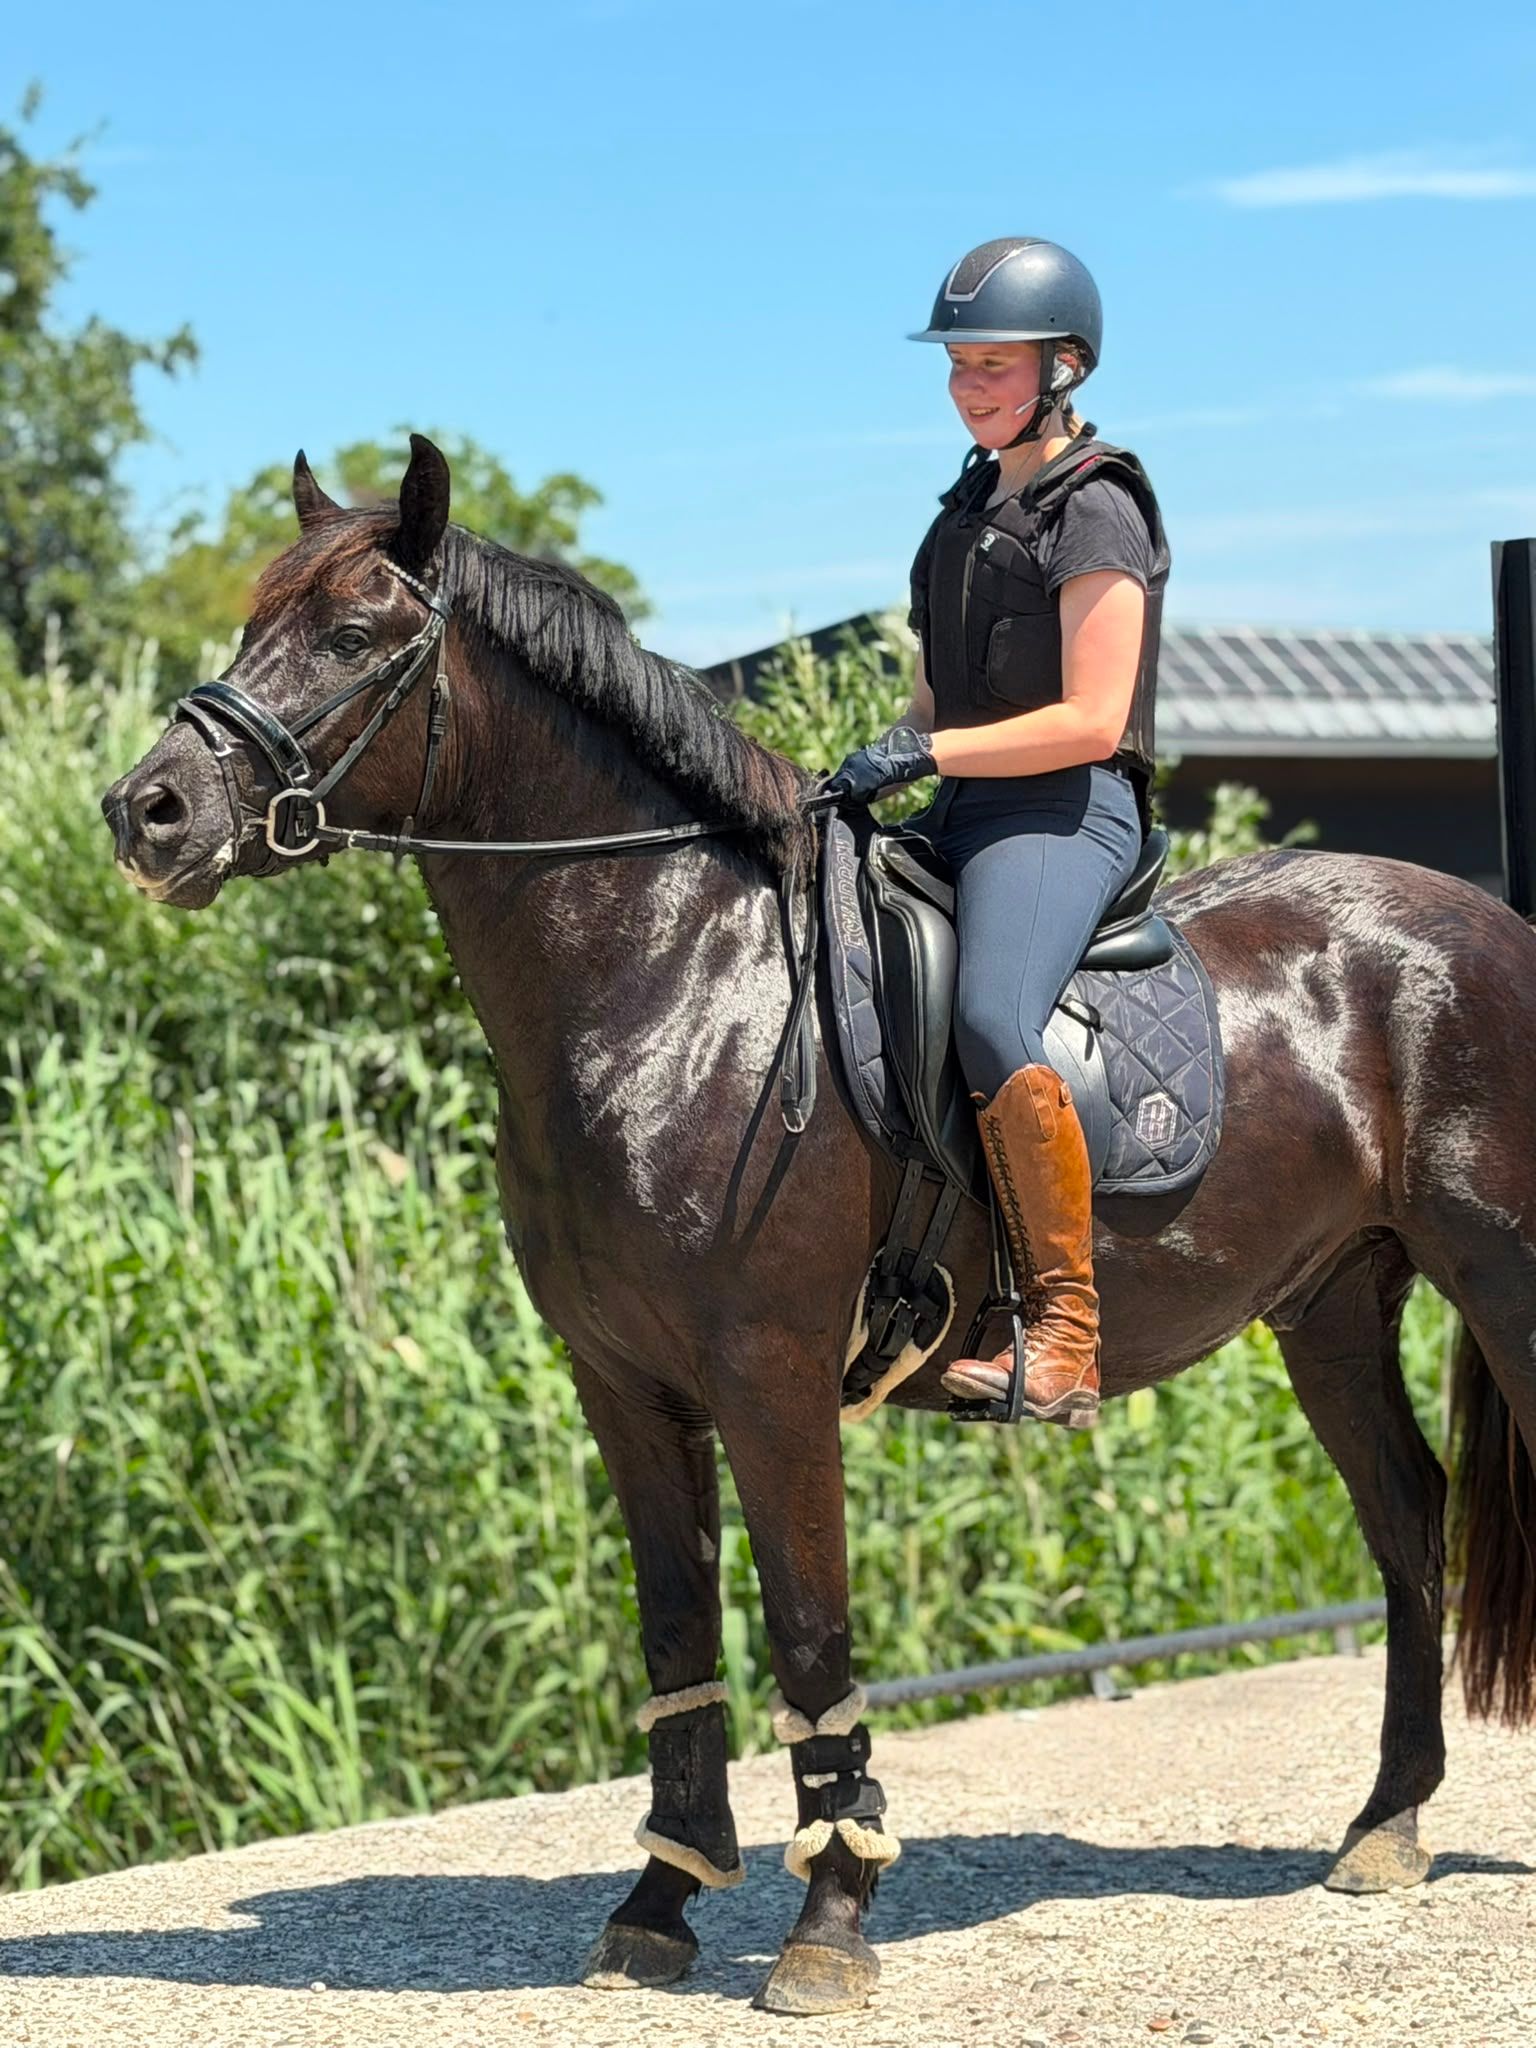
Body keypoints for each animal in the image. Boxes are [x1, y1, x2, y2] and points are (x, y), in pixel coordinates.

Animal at [101, 433, 1536, 2016]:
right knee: (1405, 1519)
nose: (148, 812)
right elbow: (677, 1630)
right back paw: (1387, 1825)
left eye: (355, 638)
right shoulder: (625, 1388)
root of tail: (1488, 924)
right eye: (253, 625)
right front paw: (660, 1901)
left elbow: (807, 1630)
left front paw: (830, 1918)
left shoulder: (772, 1377)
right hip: (1332, 1304)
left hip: (1502, 1276)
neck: (671, 981)